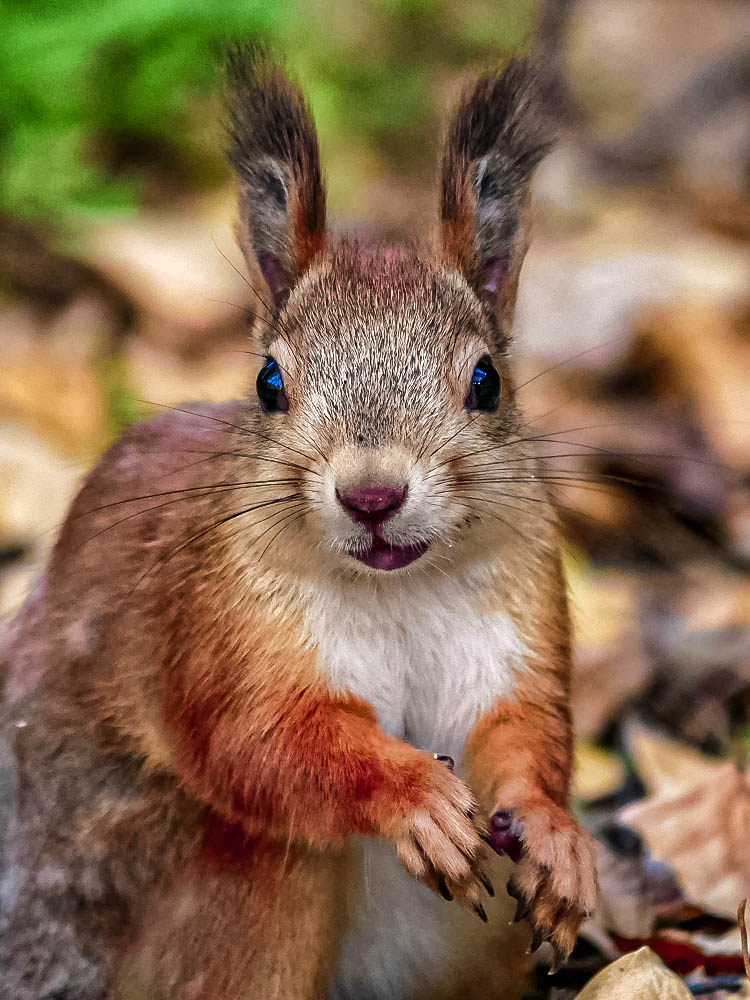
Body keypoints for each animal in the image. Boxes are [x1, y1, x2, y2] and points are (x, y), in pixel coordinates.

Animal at [0, 44, 598, 1000]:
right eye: (270, 383)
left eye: (487, 381)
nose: (372, 495)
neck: (395, 588)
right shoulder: (211, 625)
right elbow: (262, 741)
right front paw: (413, 797)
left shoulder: (522, 607)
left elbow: (525, 732)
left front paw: (554, 833)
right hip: (225, 884)